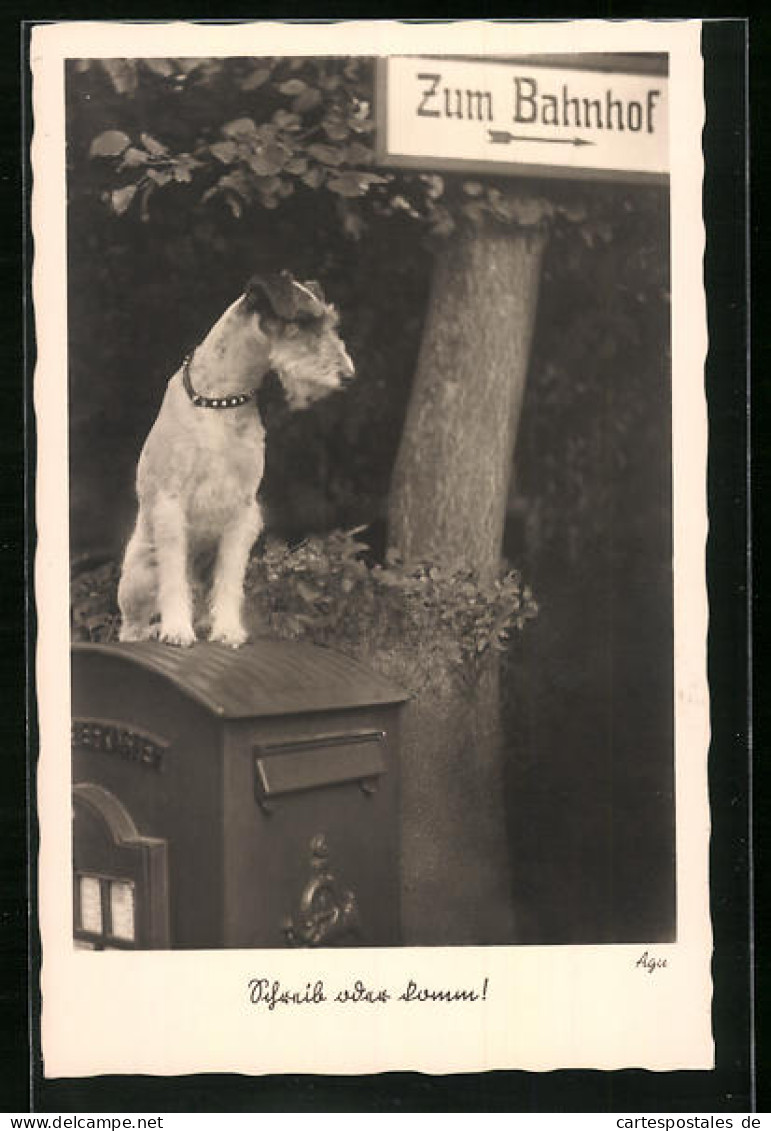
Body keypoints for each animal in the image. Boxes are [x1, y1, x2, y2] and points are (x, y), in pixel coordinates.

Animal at [116, 266, 354, 646]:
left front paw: (227, 630)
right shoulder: (171, 503)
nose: (347, 375)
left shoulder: (242, 509)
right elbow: (175, 577)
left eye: (331, 322)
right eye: (302, 322)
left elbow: (229, 580)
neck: (221, 398)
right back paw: (156, 628)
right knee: (132, 624)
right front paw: (177, 630)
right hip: (140, 574)